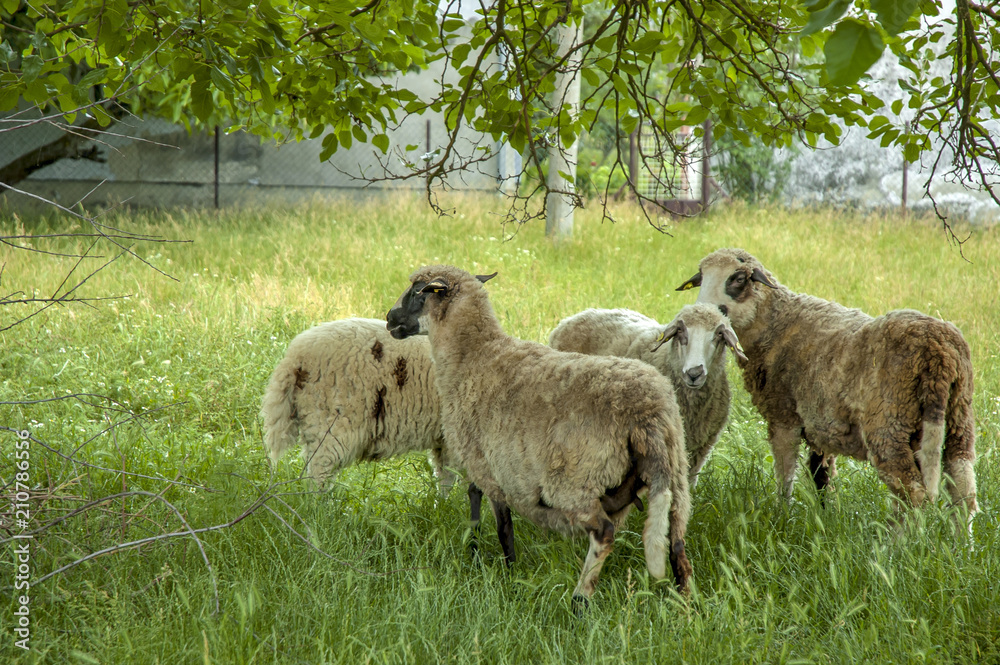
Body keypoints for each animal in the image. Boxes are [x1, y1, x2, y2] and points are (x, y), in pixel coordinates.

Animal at [387, 266, 692, 601]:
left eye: (418, 291)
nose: (389, 318)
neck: (474, 356)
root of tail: (647, 412)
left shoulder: (487, 467)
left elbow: (500, 526)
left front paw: (504, 570)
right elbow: (478, 507)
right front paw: (477, 554)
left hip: (577, 481)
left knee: (604, 534)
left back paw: (580, 600)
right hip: (677, 477)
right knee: (678, 547)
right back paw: (684, 604)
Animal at [677, 248, 977, 532]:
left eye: (738, 279)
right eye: (701, 278)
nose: (704, 310)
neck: (776, 323)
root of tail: (939, 352)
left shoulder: (784, 415)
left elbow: (785, 475)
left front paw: (782, 516)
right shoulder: (821, 424)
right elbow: (820, 477)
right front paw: (822, 517)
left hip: (889, 424)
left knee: (913, 493)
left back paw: (898, 545)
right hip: (958, 416)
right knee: (963, 490)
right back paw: (959, 544)